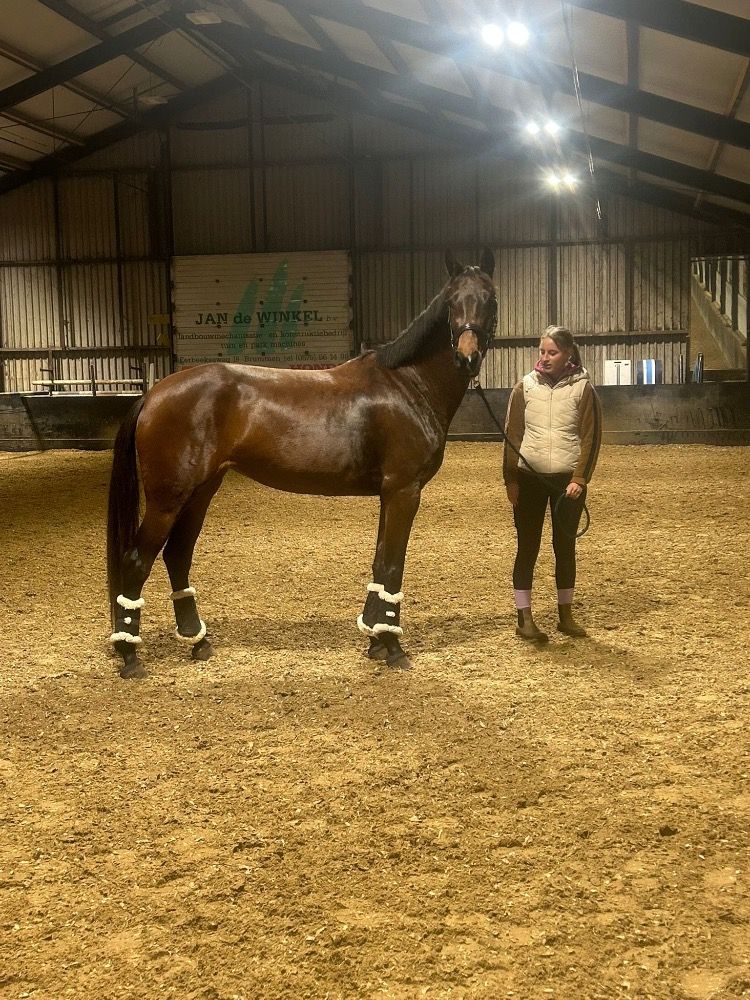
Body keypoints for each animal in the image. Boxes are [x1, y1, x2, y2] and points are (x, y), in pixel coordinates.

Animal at [107, 249, 497, 678]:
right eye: (452, 303)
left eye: (490, 299)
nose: (467, 357)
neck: (407, 385)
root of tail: (153, 394)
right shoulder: (404, 491)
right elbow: (393, 566)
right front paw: (394, 648)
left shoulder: (389, 493)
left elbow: (380, 563)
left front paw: (376, 640)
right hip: (167, 500)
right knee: (137, 561)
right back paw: (130, 656)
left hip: (200, 492)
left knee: (177, 555)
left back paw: (198, 642)